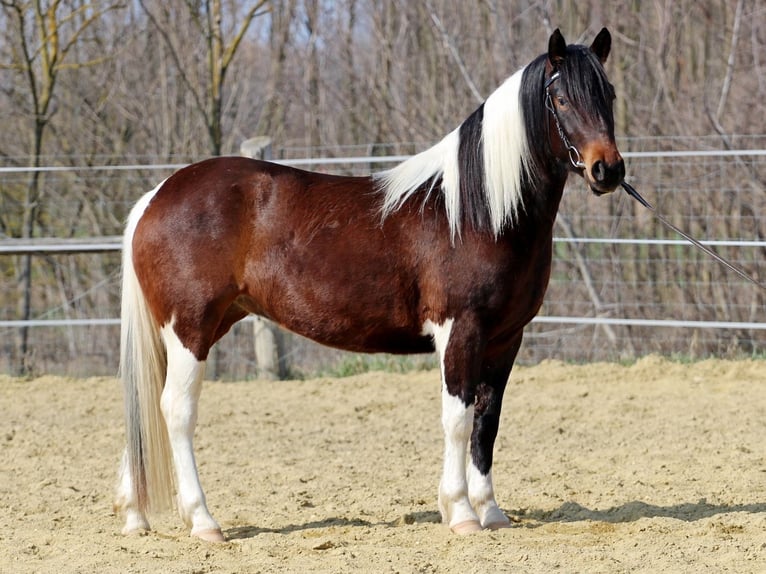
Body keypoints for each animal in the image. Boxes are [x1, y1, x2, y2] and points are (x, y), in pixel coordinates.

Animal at [115, 28, 625, 542]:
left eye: (610, 94)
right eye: (560, 98)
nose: (608, 169)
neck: (477, 211)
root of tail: (156, 196)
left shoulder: (506, 339)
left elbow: (487, 422)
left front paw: (492, 512)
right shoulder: (460, 330)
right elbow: (457, 420)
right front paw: (461, 512)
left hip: (197, 327)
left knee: (145, 408)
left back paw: (136, 516)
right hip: (191, 329)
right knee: (176, 411)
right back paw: (203, 521)